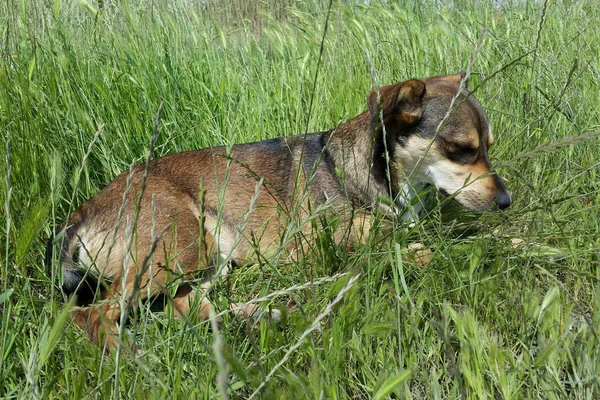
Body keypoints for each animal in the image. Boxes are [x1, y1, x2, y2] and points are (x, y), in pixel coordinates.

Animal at [45, 72, 510, 350]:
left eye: (488, 147)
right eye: (461, 150)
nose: (506, 202)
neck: (371, 168)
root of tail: (78, 215)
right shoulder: (338, 242)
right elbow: (429, 247)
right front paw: (492, 247)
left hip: (211, 255)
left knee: (186, 306)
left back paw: (259, 318)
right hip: (176, 250)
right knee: (89, 315)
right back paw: (126, 354)